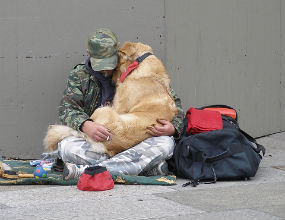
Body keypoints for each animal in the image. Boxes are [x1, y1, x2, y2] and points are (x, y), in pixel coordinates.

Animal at [43, 41, 178, 156]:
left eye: (116, 66)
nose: (112, 81)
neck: (139, 64)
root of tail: (105, 147)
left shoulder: (119, 105)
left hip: (103, 110)